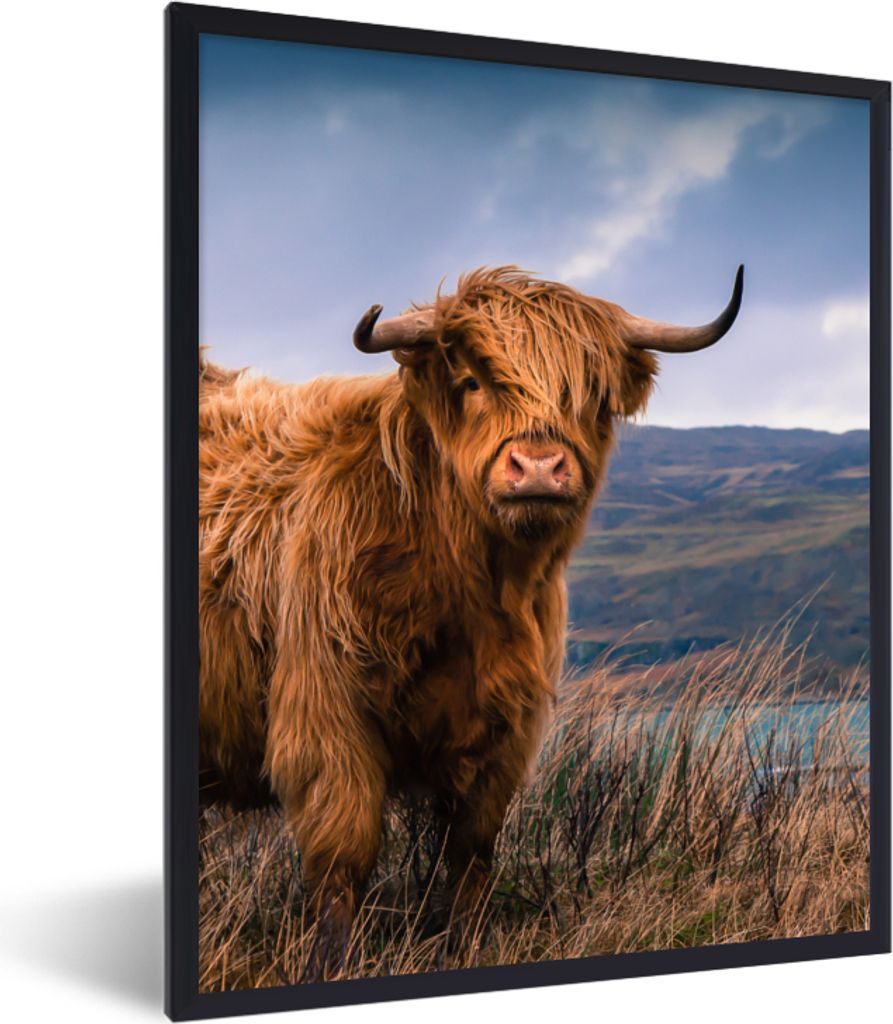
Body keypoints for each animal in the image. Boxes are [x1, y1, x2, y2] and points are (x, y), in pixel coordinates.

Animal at [198, 264, 744, 975]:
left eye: (591, 395)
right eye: (472, 381)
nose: (538, 468)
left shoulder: (505, 730)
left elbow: (471, 854)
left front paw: (464, 947)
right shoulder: (327, 715)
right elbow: (343, 855)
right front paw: (332, 964)